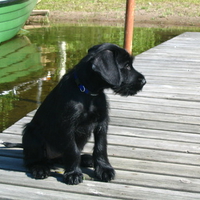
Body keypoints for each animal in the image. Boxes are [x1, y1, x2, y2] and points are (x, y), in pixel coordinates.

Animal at [21, 43, 146, 185]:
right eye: (126, 66)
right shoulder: (68, 126)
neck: (87, 92)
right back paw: (40, 168)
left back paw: (86, 159)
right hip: (30, 133)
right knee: (31, 160)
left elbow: (101, 147)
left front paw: (104, 169)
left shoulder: (102, 123)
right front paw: (73, 173)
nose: (144, 81)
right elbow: (72, 151)